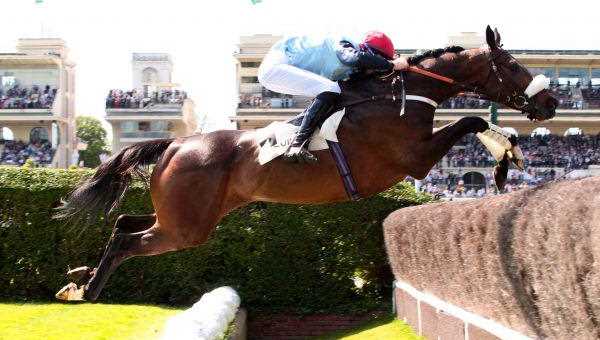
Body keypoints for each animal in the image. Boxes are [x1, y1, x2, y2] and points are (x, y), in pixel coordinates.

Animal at [56, 27, 556, 302]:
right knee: (128, 240)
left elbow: (473, 120)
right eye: (514, 65)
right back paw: (89, 290)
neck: (399, 94)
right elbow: (472, 118)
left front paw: (509, 154)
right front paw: (502, 162)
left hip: (190, 214)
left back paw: (80, 279)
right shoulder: (413, 158)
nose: (551, 103)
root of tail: (177, 145)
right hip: (186, 226)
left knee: (123, 222)